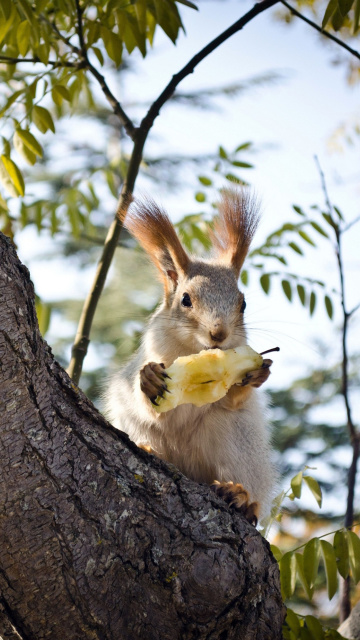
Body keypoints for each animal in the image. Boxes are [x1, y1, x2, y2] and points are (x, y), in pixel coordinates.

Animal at [103, 188, 276, 524]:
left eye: (243, 304)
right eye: (185, 300)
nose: (219, 334)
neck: (194, 351)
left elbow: (232, 400)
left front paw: (258, 375)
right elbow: (155, 408)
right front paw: (150, 380)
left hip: (236, 439)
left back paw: (241, 496)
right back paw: (149, 449)